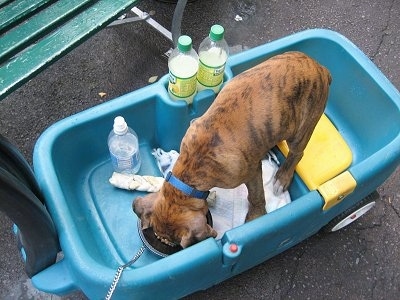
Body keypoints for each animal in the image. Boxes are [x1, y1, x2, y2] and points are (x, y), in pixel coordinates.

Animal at [134, 51, 332, 248]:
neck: (194, 165)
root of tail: (320, 68)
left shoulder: (251, 173)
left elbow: (256, 196)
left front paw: (256, 215)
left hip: (302, 128)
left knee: (297, 153)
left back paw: (282, 178)